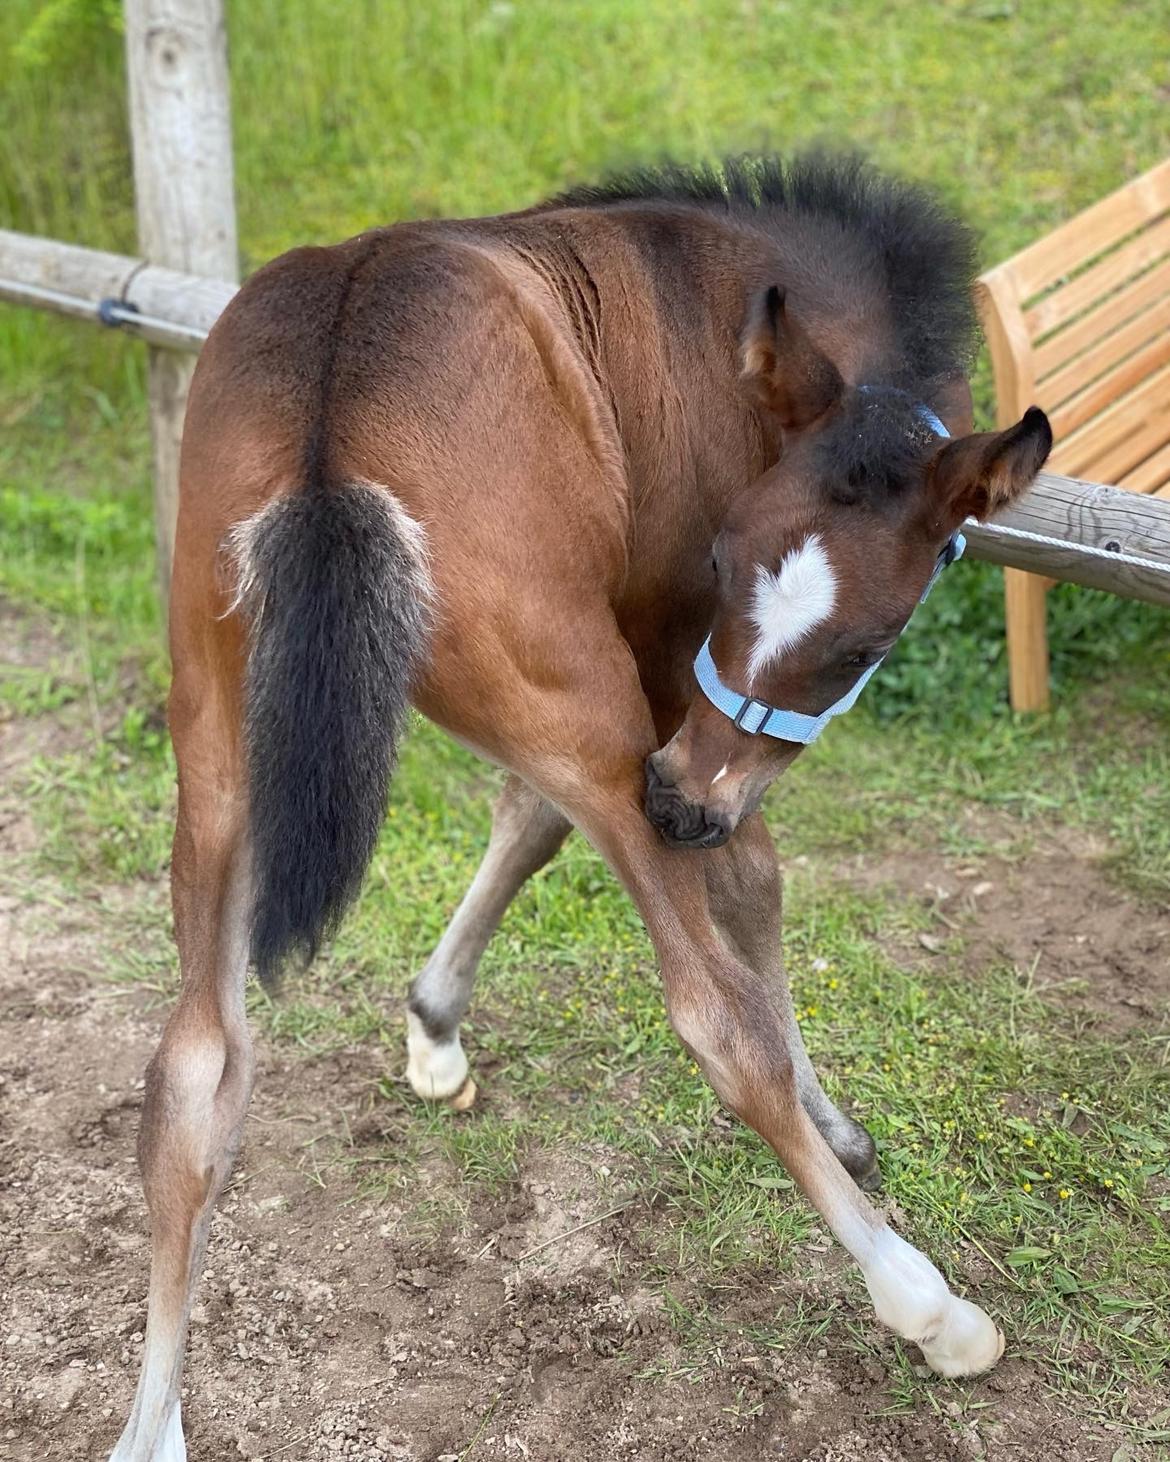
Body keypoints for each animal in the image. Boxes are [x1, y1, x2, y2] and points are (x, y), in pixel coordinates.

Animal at [108, 154, 1052, 1461]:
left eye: (860, 640)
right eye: (720, 556)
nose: (679, 804)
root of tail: (329, 404)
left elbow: (530, 819)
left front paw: (435, 1029)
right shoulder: (663, 683)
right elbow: (747, 883)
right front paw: (843, 1130)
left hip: (219, 742)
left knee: (194, 1071)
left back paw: (152, 1424)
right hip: (574, 702)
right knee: (712, 1016)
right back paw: (927, 1305)